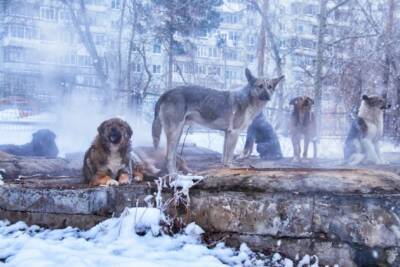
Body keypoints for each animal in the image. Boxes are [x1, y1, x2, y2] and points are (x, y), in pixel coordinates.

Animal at [152, 68, 282, 175]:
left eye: (270, 87)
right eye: (260, 86)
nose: (268, 96)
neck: (247, 99)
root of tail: (166, 93)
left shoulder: (227, 133)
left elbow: (224, 156)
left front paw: (225, 166)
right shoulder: (234, 133)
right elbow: (229, 156)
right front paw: (231, 167)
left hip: (178, 134)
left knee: (173, 156)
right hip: (175, 133)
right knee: (168, 157)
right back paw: (174, 174)